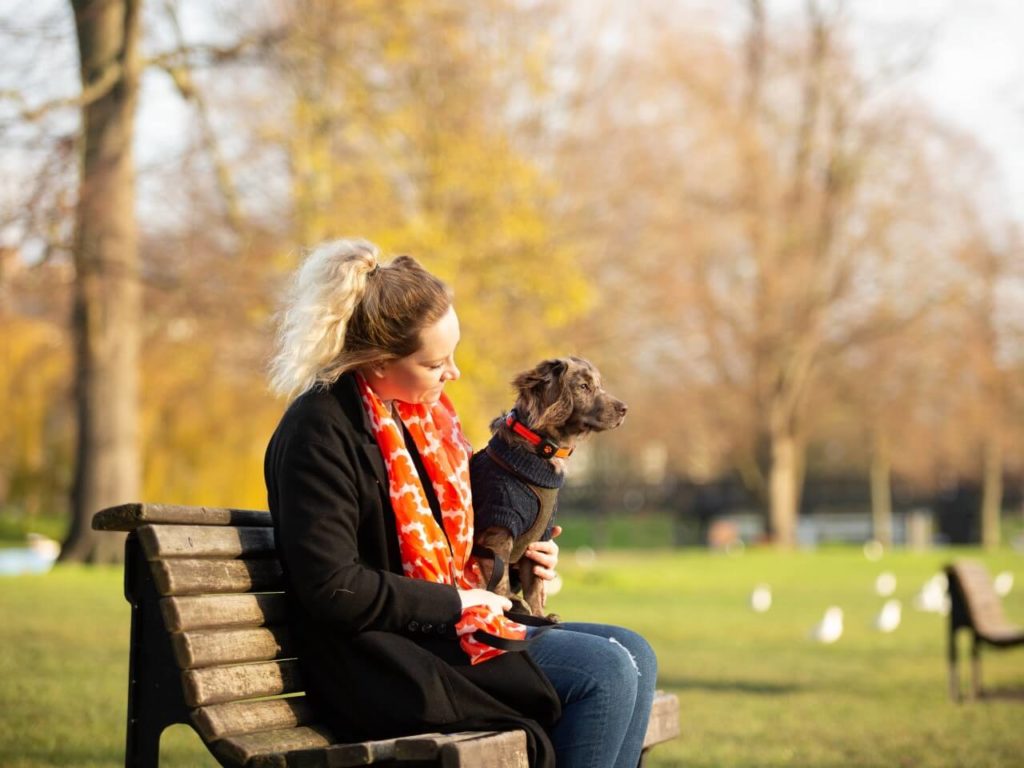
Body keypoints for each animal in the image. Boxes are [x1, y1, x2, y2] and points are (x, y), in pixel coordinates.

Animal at [468, 356, 626, 618]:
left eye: (600, 385)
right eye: (584, 386)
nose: (624, 409)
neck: (540, 451)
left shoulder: (537, 542)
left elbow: (534, 590)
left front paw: (541, 617)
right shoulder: (498, 529)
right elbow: (500, 582)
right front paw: (511, 607)